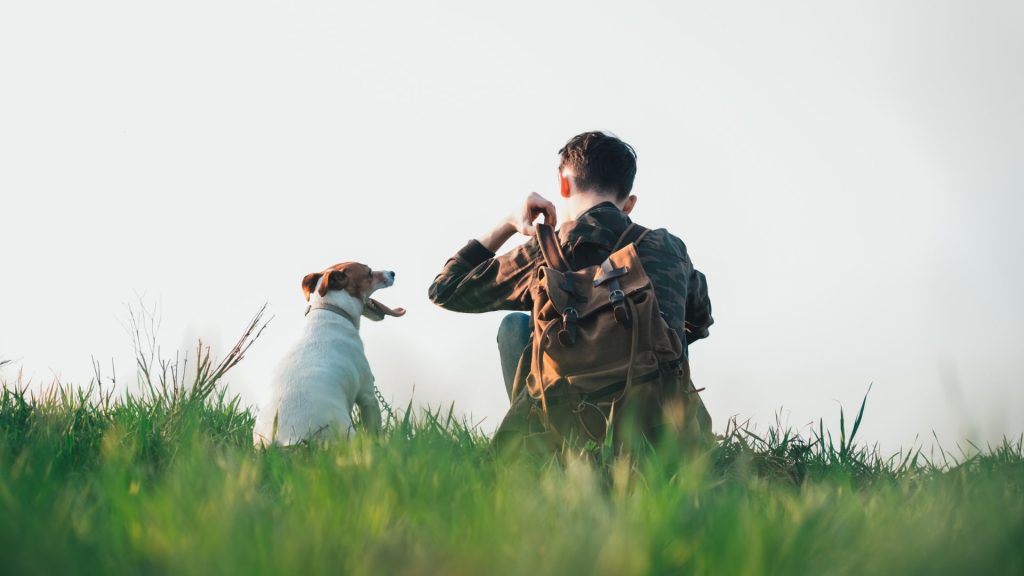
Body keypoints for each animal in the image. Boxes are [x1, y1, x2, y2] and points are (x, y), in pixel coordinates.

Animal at [251, 260, 403, 444]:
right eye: (369, 272)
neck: (330, 308)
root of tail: (287, 440)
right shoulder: (367, 395)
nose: (392, 272)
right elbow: (374, 430)